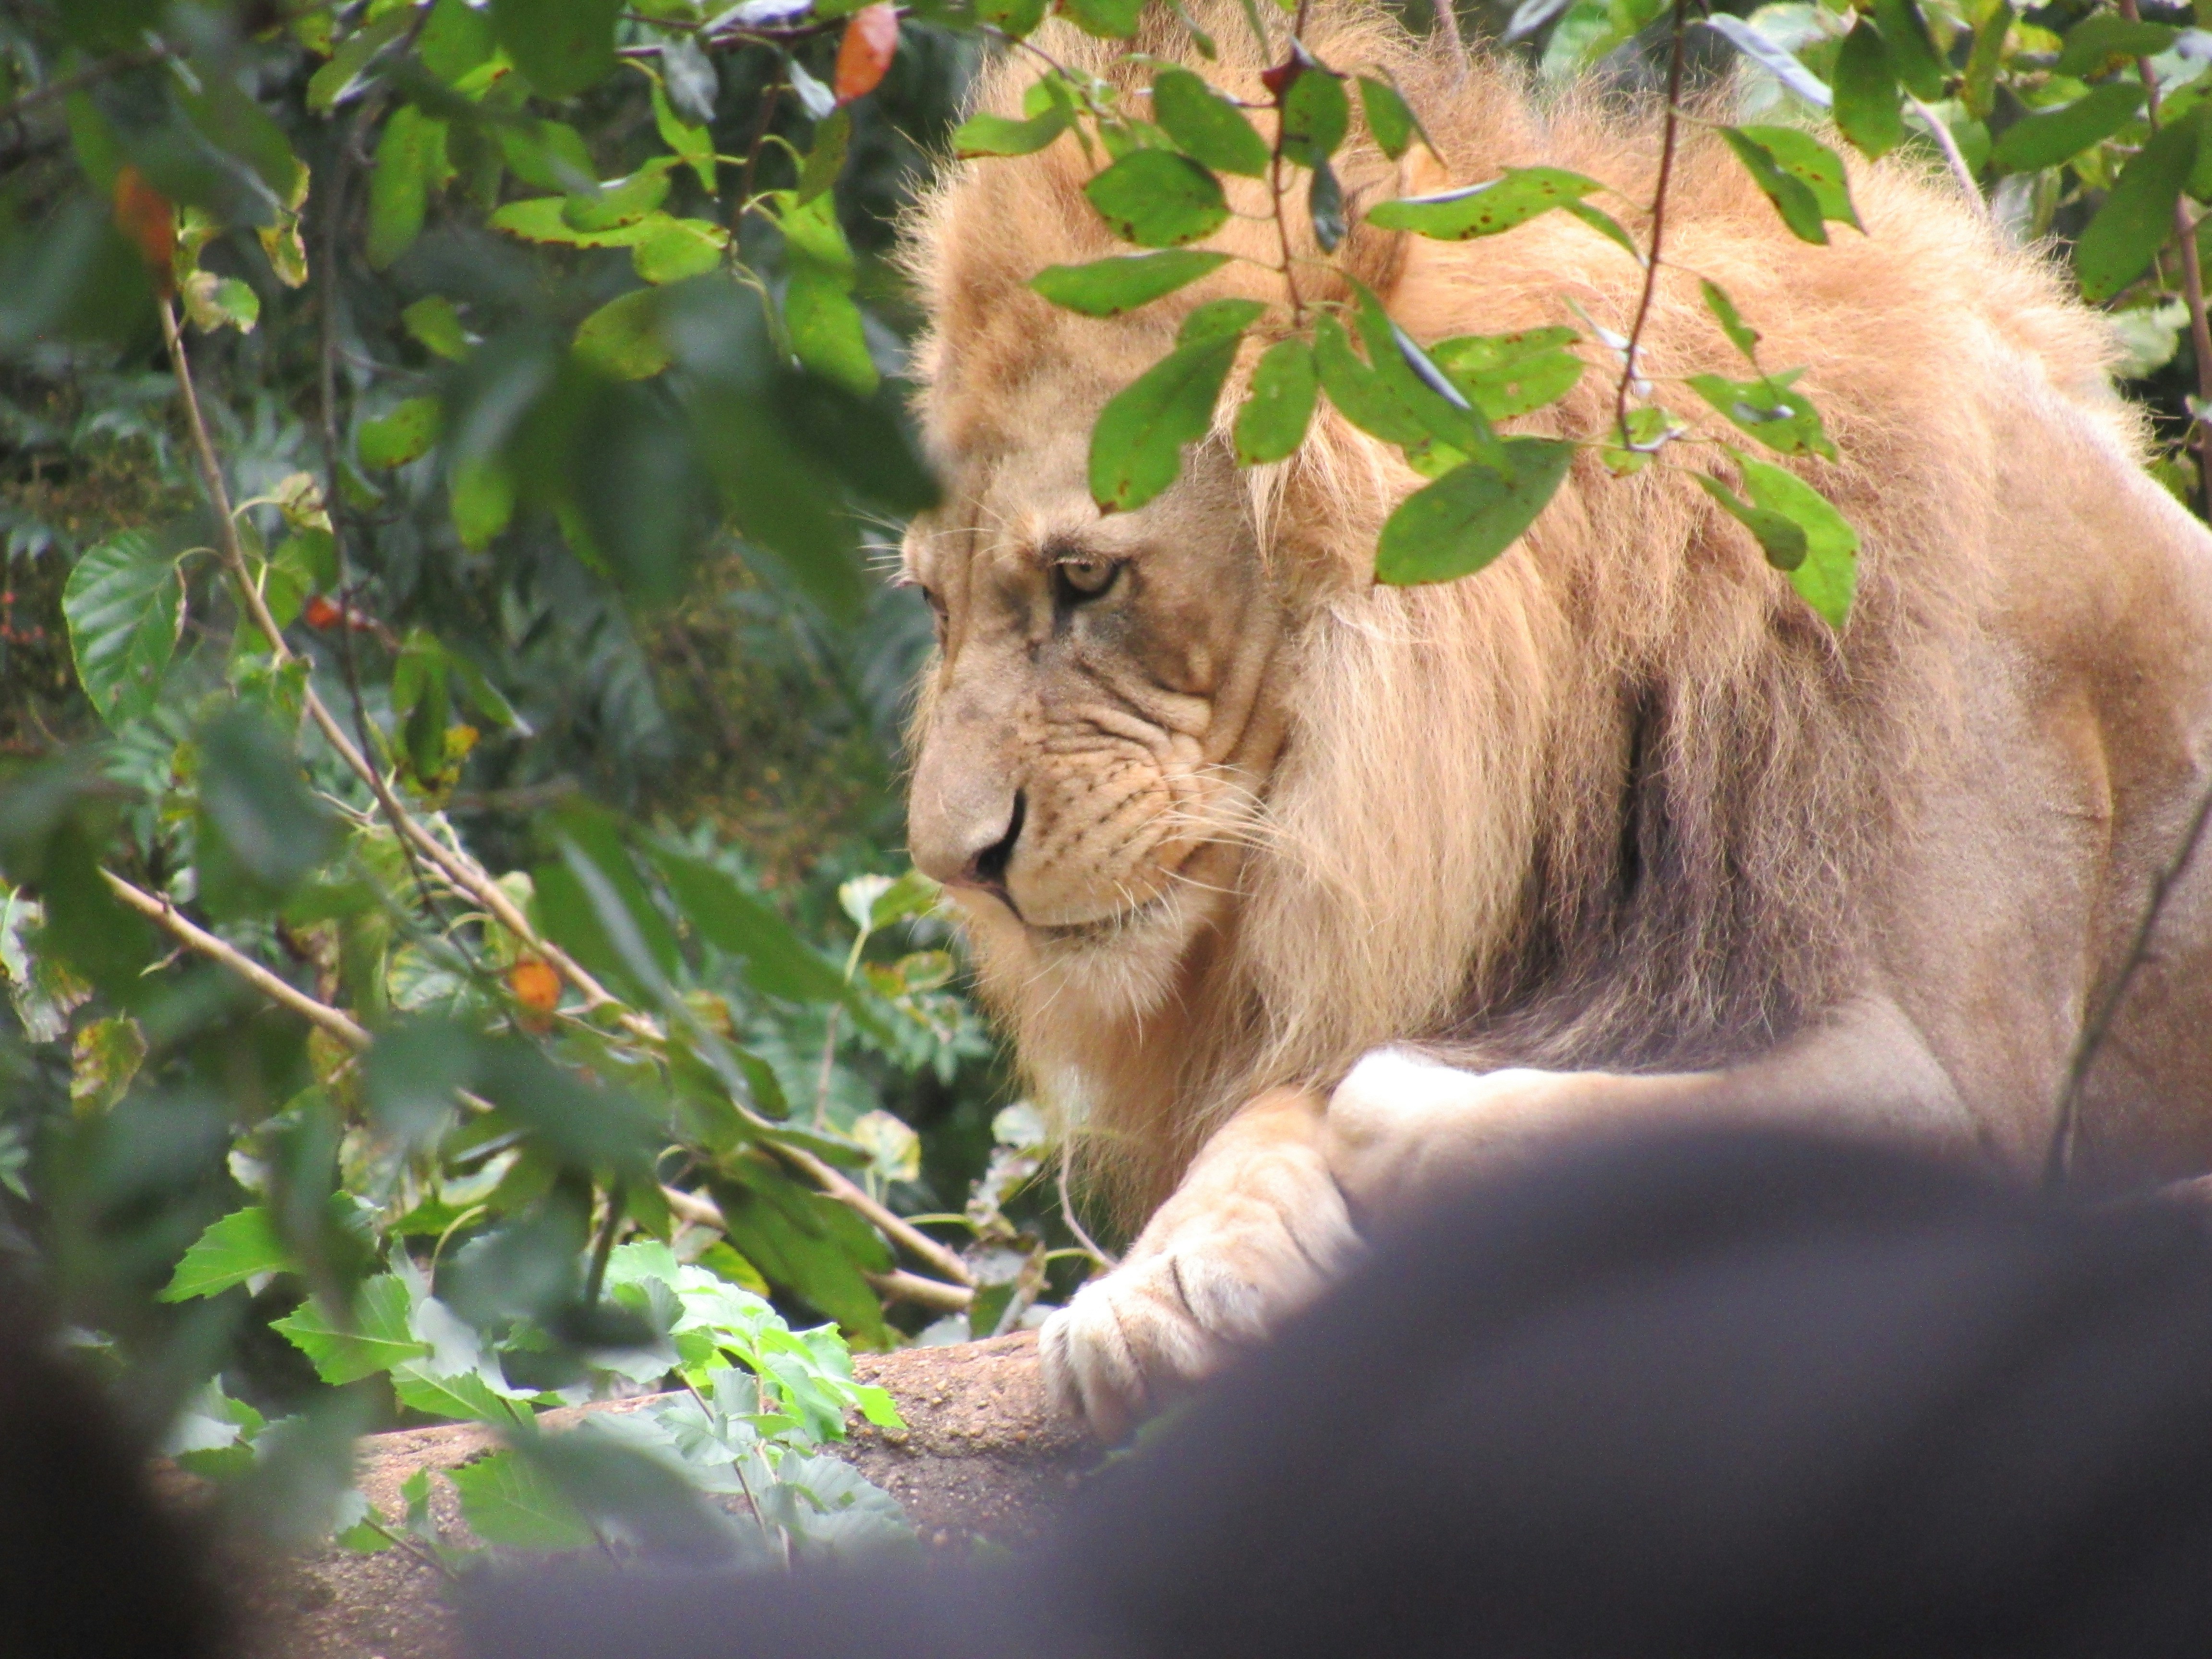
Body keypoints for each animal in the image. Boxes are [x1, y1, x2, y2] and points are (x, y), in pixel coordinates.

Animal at [896, 0, 2212, 1436]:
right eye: (932, 604)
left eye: (1086, 578)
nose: (954, 866)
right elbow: (1289, 1099)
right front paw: (1167, 1283)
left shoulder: (1959, 1088)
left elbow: (1382, 1089)